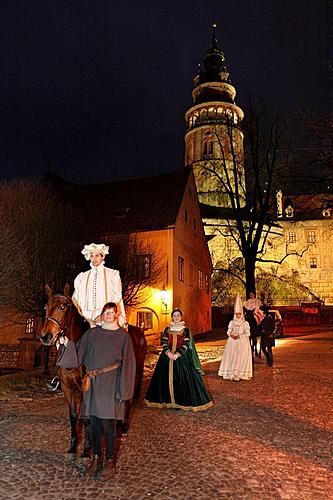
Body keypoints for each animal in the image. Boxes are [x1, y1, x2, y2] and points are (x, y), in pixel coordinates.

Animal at [40, 286, 147, 454]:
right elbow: (73, 416)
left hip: (132, 374)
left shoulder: (87, 389)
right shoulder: (68, 388)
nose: (46, 336)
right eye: (46, 307)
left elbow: (86, 418)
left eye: (63, 307)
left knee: (128, 399)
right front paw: (73, 446)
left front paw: (87, 449)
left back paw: (123, 426)